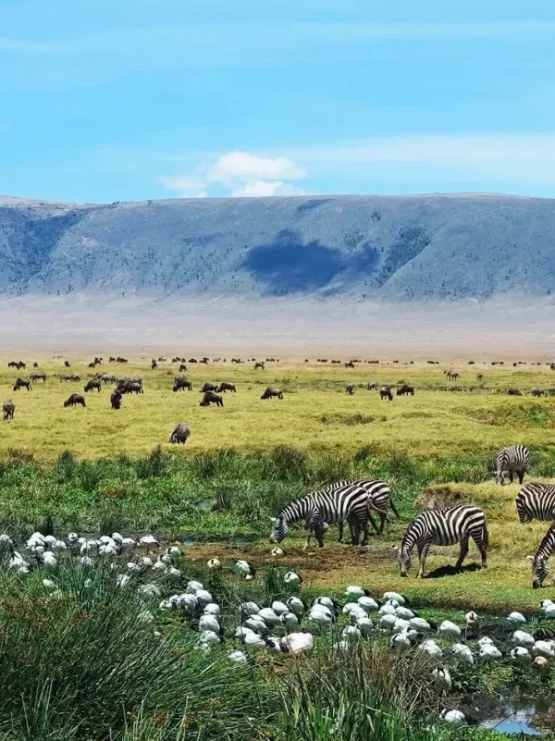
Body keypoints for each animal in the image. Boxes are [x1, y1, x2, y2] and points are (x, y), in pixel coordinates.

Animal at [270, 480, 398, 548]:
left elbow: (310, 531)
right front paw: (320, 543)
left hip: (371, 505)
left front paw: (306, 545)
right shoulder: (317, 517)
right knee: (367, 522)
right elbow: (316, 529)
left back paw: (367, 540)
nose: (270, 541)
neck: (306, 507)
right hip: (359, 509)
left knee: (375, 521)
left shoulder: (316, 515)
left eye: (276, 528)